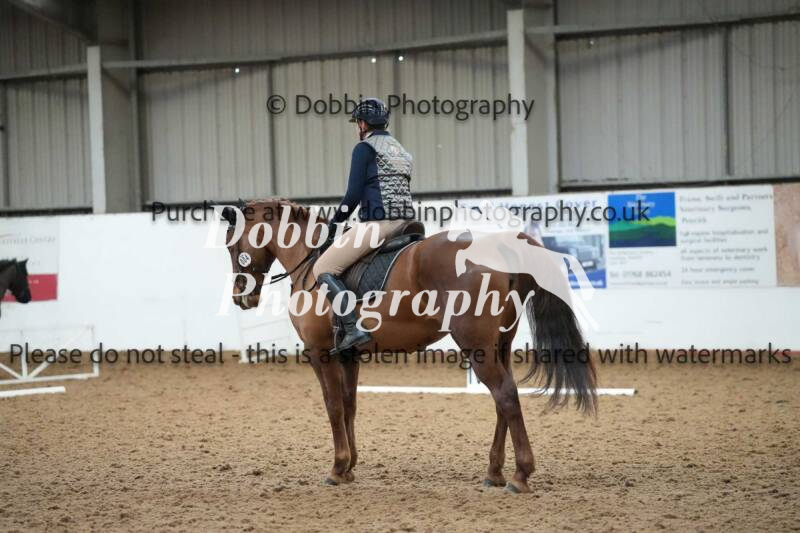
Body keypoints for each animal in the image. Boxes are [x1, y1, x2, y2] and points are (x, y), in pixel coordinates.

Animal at [219, 198, 596, 493]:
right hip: (498, 344)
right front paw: (350, 467)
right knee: (505, 399)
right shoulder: (349, 354)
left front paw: (337, 468)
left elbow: (333, 406)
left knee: (504, 394)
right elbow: (350, 404)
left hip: (476, 346)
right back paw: (494, 473)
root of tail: (500, 244)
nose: (242, 297)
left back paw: (519, 475)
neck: (310, 266)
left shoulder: (320, 353)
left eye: (233, 246)